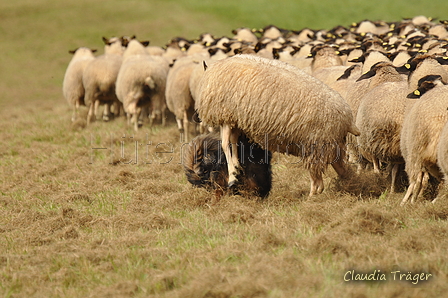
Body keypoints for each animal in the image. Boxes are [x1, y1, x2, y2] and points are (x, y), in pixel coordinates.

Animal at [196, 54, 360, 197]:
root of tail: (347, 118)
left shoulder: (225, 116)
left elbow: (225, 144)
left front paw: (232, 176)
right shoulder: (235, 121)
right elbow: (234, 144)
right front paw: (236, 169)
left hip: (316, 147)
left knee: (319, 183)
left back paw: (311, 198)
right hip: (331, 145)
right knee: (343, 170)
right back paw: (351, 186)